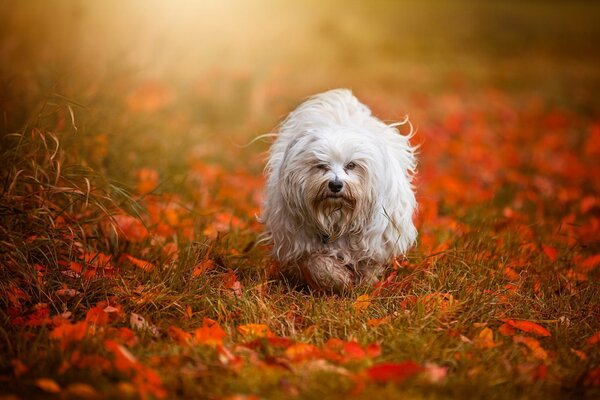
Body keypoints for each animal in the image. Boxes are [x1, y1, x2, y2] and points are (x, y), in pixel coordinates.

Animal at [258, 89, 418, 292]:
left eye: (351, 165)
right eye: (321, 165)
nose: (335, 185)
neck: (336, 216)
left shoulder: (375, 239)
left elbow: (369, 264)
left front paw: (364, 285)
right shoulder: (302, 242)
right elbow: (319, 264)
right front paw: (339, 280)